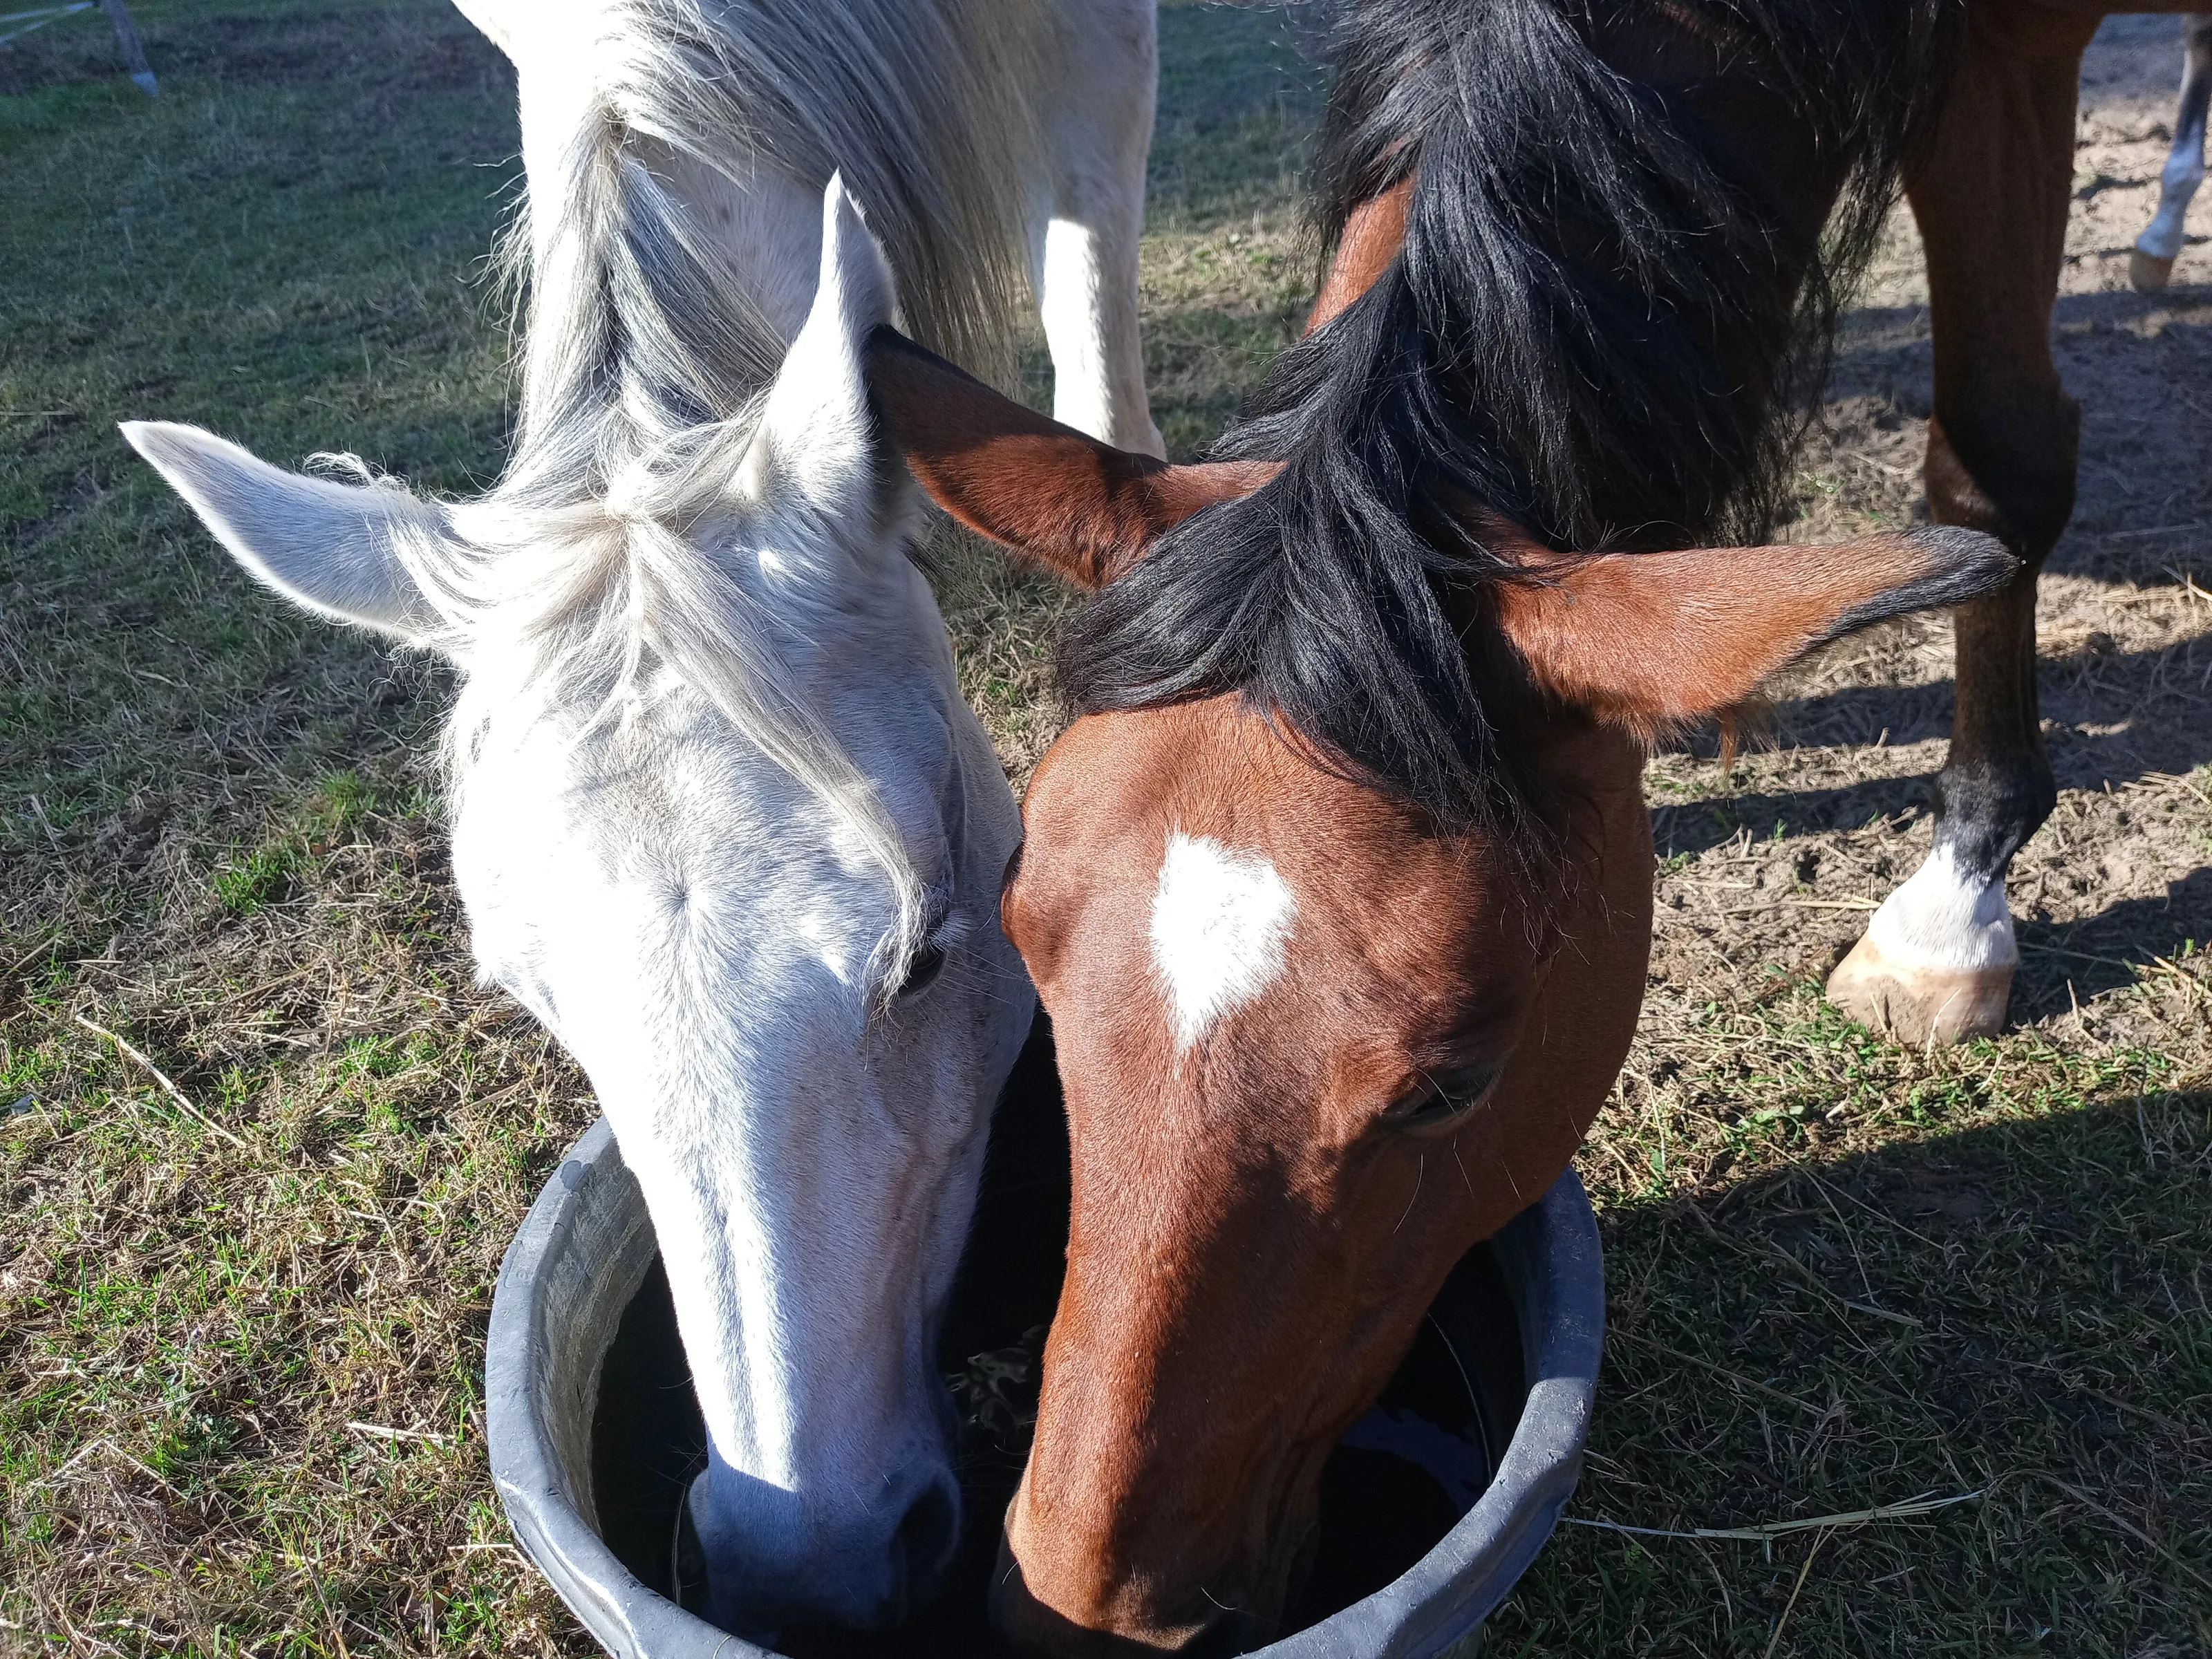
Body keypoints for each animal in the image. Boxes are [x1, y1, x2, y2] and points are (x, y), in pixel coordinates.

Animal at [856, 0, 2193, 1641]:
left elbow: (1998, 467)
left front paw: (1957, 904)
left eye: (1451, 1087)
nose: (1084, 1613)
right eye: (1030, 958)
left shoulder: (2013, 56)